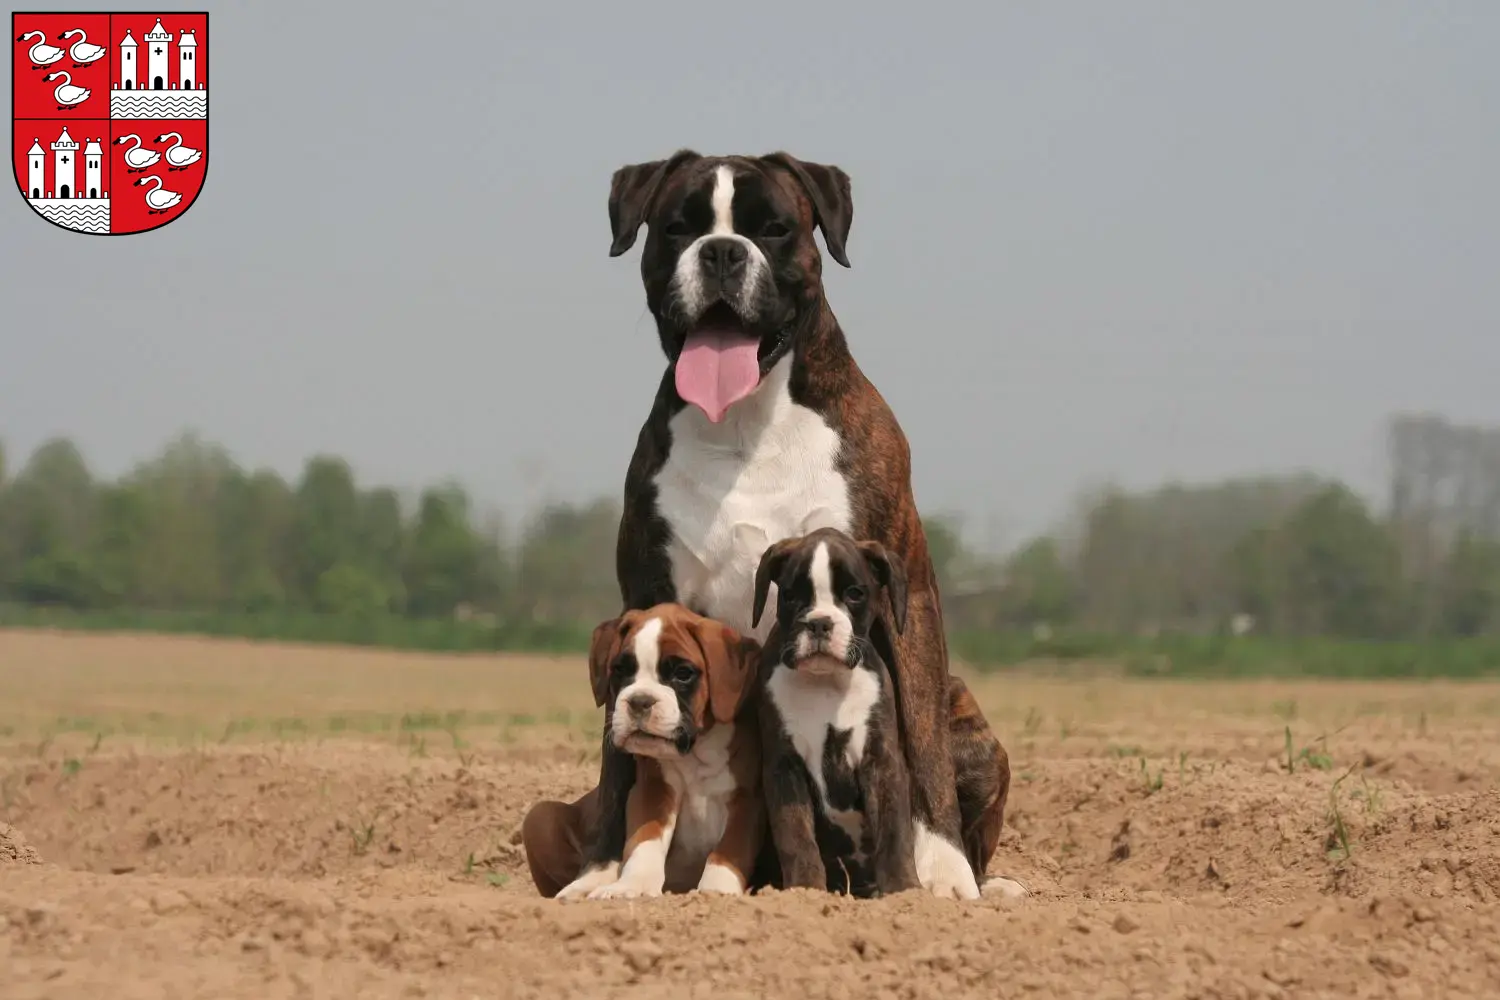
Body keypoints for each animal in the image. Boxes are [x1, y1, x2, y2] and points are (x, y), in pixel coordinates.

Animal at [522, 605, 768, 905]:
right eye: (620, 670)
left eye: (683, 673)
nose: (639, 701)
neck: (695, 752)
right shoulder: (653, 790)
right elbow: (645, 841)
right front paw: (634, 885)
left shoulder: (746, 800)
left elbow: (728, 850)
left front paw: (716, 891)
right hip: (540, 817)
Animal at [570, 150, 1020, 905]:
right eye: (678, 226)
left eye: (775, 228)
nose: (722, 251)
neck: (747, 420)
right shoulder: (647, 592)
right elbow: (620, 765)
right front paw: (602, 871)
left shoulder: (909, 592)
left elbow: (920, 743)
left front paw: (942, 873)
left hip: (977, 732)